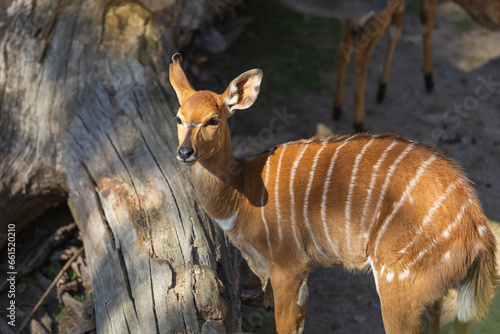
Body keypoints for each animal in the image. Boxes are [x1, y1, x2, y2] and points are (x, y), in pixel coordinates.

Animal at [171, 54, 496, 334]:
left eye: (214, 119)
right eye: (179, 118)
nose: (185, 152)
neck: (242, 193)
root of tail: (478, 228)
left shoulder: (287, 265)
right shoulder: (300, 272)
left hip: (399, 283)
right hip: (430, 296)